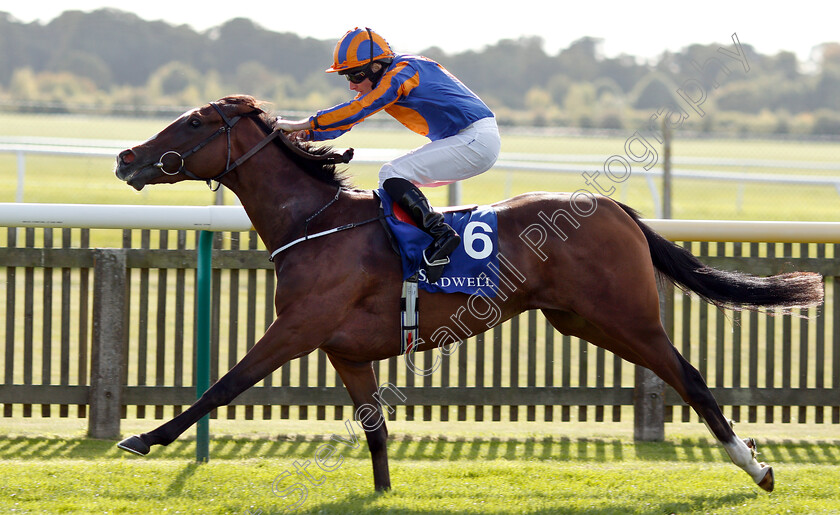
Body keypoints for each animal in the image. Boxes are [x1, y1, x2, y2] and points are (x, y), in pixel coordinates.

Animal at [111, 94, 820, 494]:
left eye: (194, 122)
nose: (124, 157)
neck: (315, 221)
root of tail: (616, 208)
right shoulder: (348, 352)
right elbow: (375, 433)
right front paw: (383, 494)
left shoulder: (297, 329)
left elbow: (222, 385)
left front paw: (144, 438)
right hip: (581, 320)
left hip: (626, 318)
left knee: (691, 378)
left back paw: (756, 468)